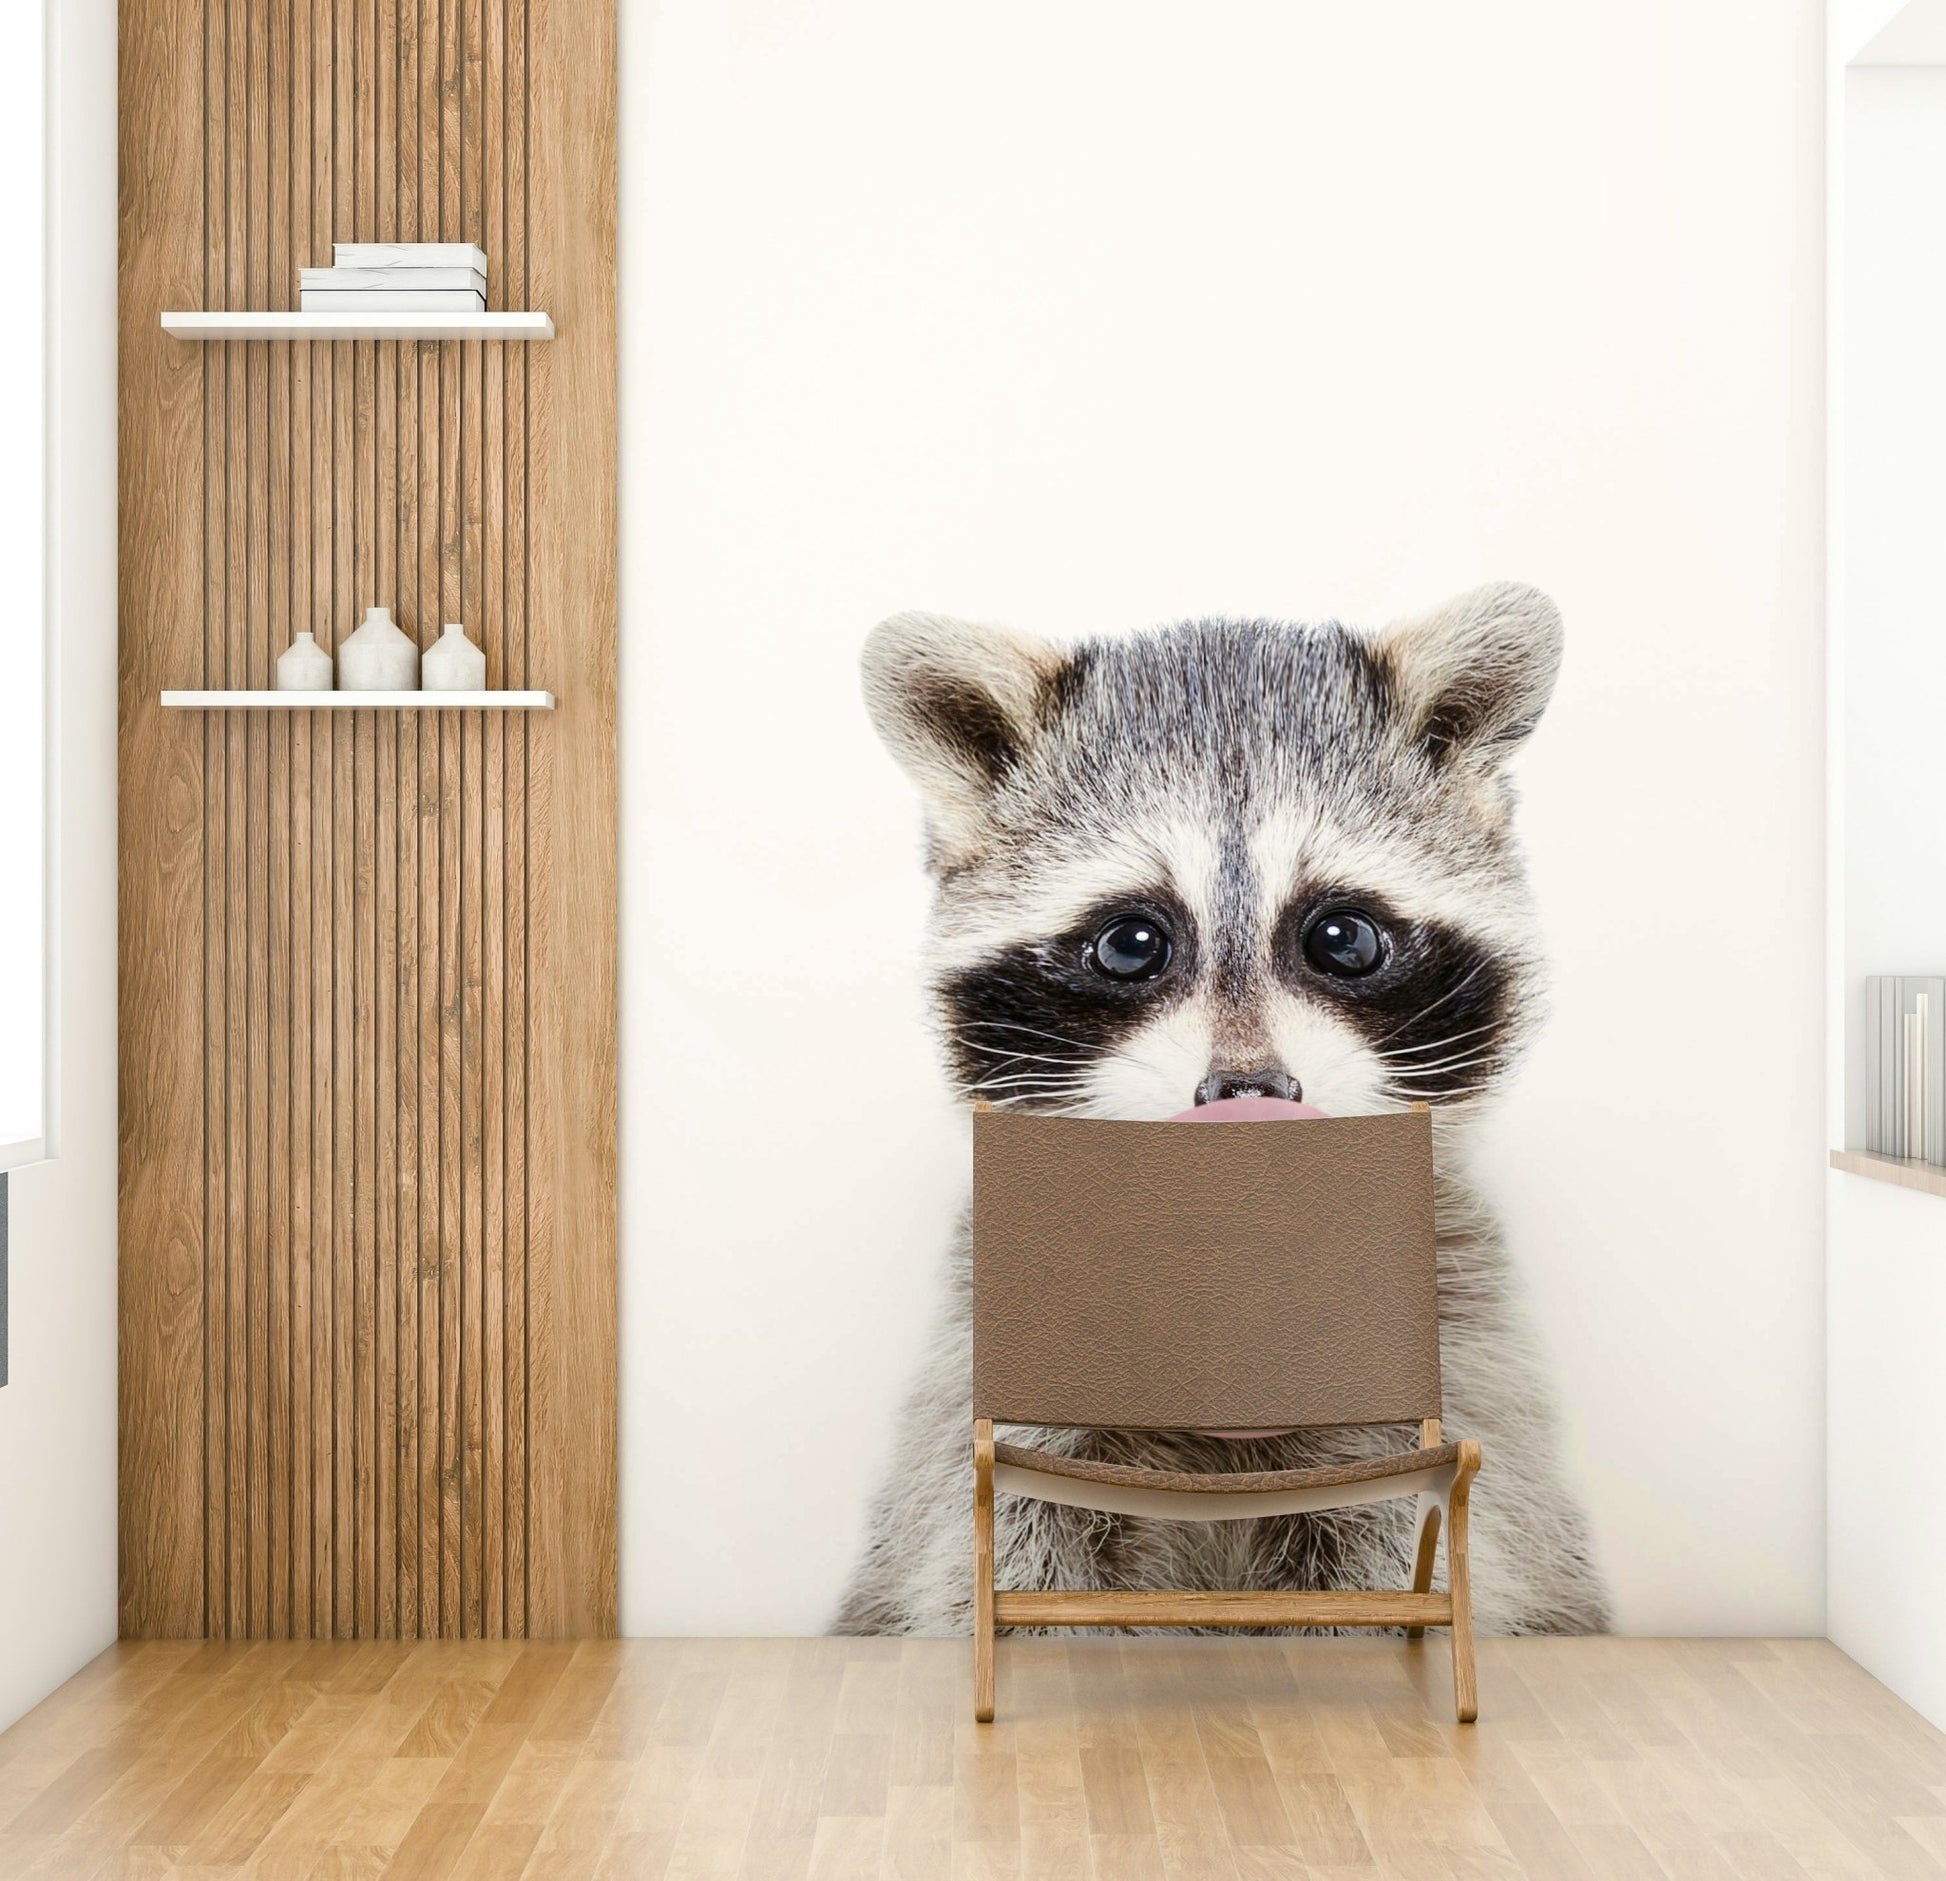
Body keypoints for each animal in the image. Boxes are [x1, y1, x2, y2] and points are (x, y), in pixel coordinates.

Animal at [833, 583, 1612, 1638]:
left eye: (1342, 937)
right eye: (1131, 942)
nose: (1249, 1094)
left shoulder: (1452, 1357)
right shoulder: (1002, 1377)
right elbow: (997, 1566)